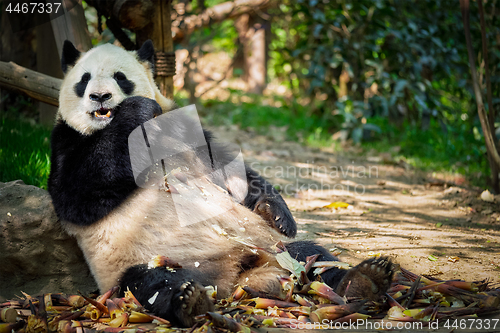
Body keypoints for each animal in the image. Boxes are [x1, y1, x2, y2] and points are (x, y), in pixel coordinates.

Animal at [48, 40, 396, 326]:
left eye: (120, 77)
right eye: (84, 79)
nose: (99, 97)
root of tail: (235, 278)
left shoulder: (186, 132)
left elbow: (232, 172)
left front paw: (277, 213)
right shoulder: (67, 142)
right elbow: (78, 194)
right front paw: (135, 110)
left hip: (272, 249)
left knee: (314, 256)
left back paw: (365, 280)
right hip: (139, 262)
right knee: (152, 283)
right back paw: (188, 301)